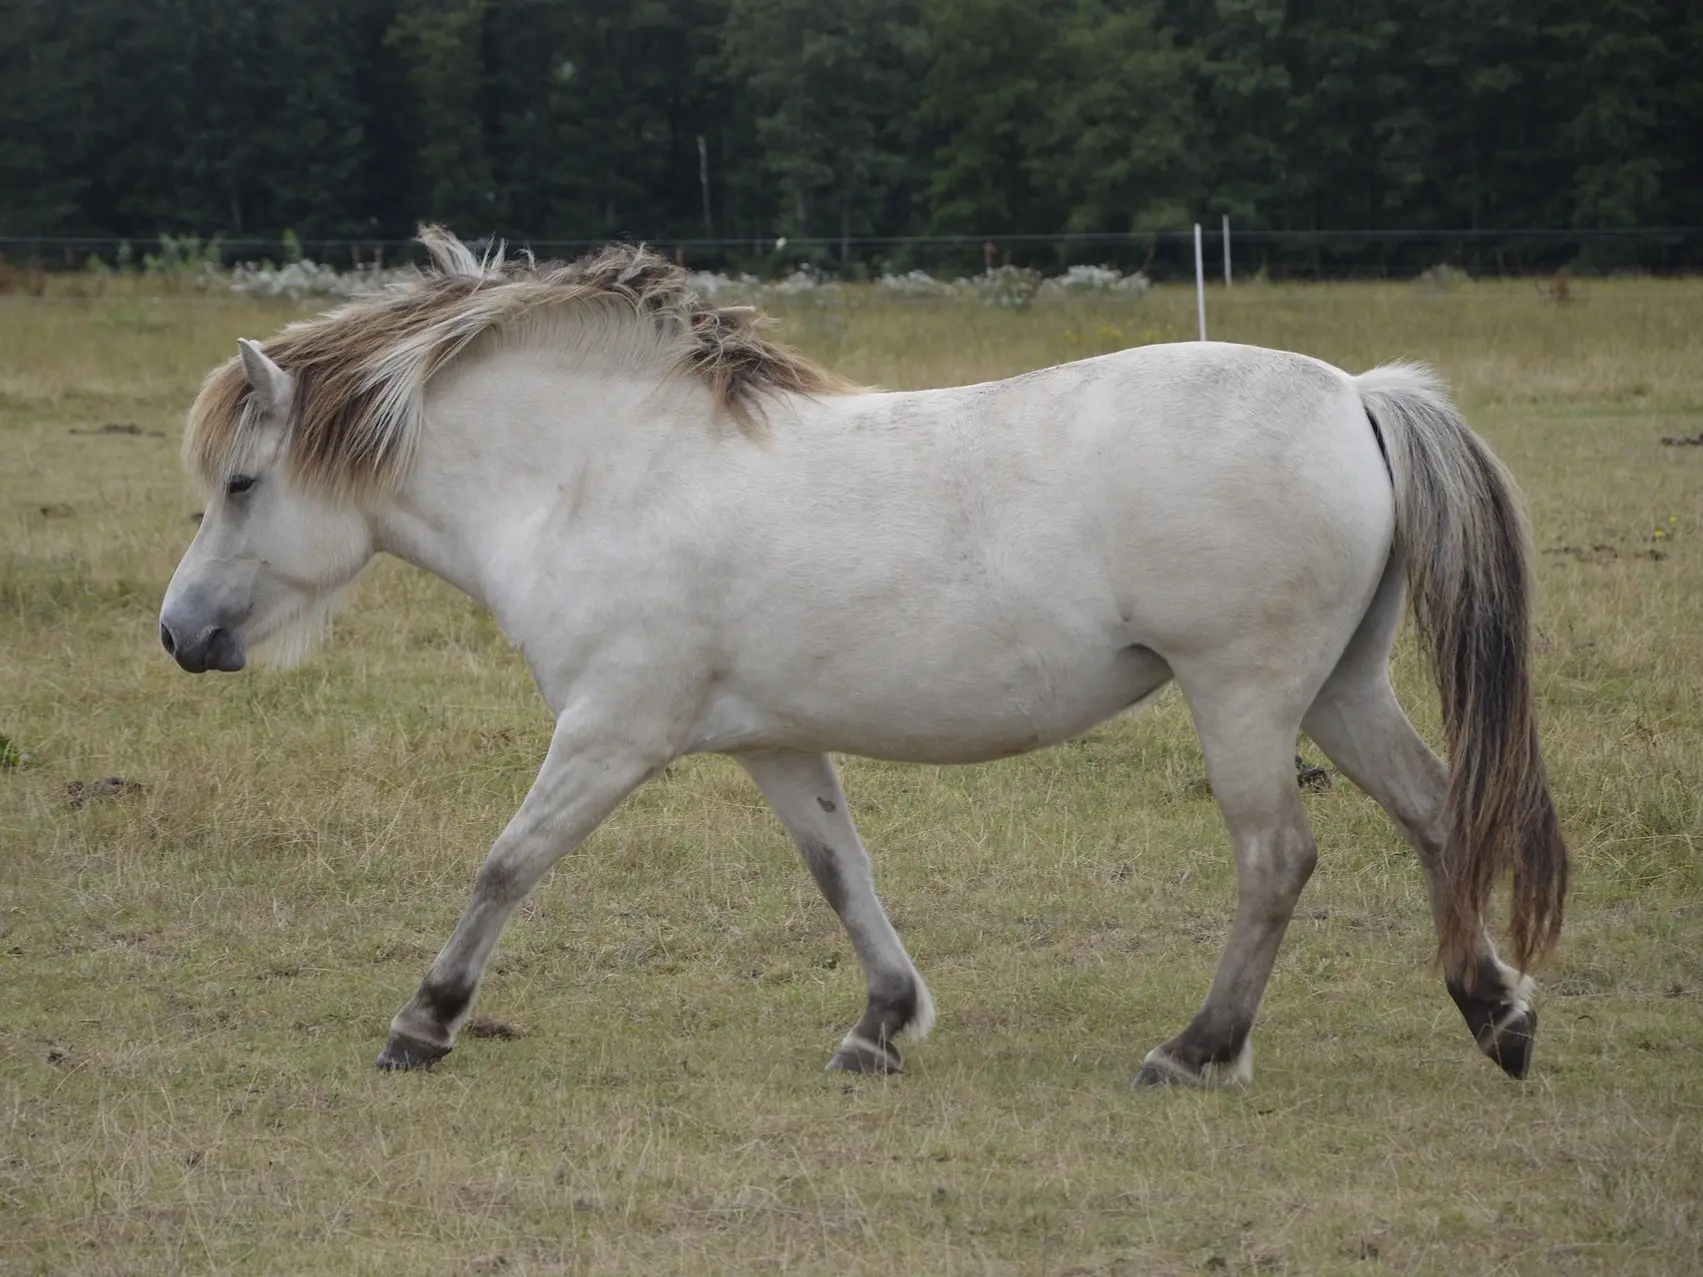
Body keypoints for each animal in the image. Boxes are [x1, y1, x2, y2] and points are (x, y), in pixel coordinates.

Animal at [160, 224, 1566, 1082]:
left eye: (240, 484)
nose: (179, 635)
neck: (602, 475)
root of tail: (1356, 394)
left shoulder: (613, 729)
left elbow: (507, 861)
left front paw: (423, 1019)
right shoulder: (776, 743)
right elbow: (843, 873)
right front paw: (881, 1024)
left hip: (1246, 695)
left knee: (1277, 855)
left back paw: (1195, 1047)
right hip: (1337, 691)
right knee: (1439, 812)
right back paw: (1495, 1012)